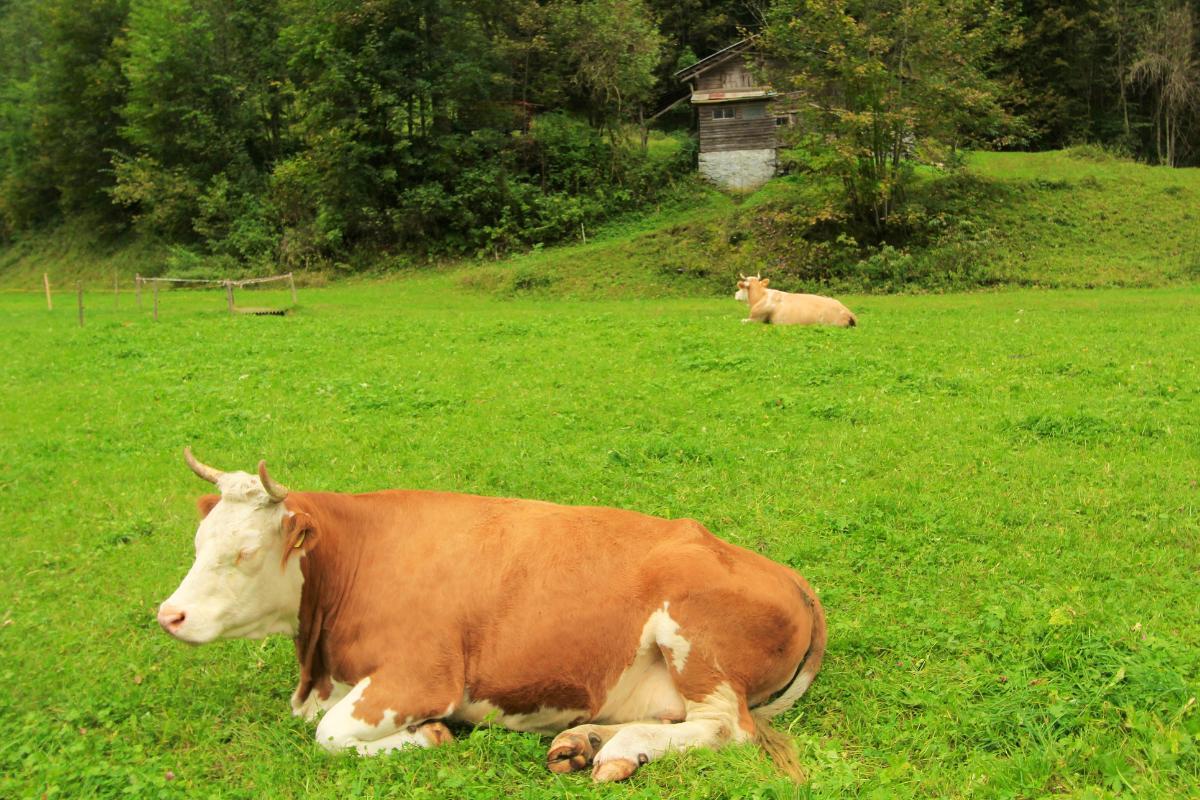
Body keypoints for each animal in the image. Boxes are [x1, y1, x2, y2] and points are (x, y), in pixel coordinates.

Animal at [158, 448, 826, 782]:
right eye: (199, 540)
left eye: (245, 552)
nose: (170, 615)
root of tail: (789, 575)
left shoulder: (419, 677)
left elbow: (328, 734)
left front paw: (427, 736)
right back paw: (584, 742)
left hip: (698, 648)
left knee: (724, 730)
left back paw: (616, 752)